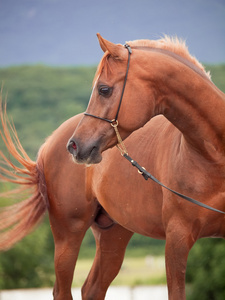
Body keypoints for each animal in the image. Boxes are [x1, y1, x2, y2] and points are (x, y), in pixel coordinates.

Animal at [68, 34, 225, 298]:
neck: (213, 158)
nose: (74, 146)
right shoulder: (177, 239)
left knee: (92, 288)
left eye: (103, 89)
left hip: (113, 236)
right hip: (68, 232)